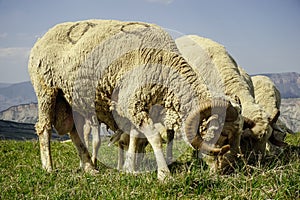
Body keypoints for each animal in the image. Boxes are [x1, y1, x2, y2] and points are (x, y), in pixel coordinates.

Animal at [28, 19, 239, 180]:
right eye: (224, 134)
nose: (226, 171)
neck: (163, 64)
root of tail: (42, 38)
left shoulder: (138, 106)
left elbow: (135, 137)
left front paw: (130, 168)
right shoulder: (133, 103)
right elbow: (154, 138)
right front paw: (164, 175)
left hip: (69, 99)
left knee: (75, 132)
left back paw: (89, 167)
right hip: (46, 89)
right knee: (44, 128)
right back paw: (49, 167)